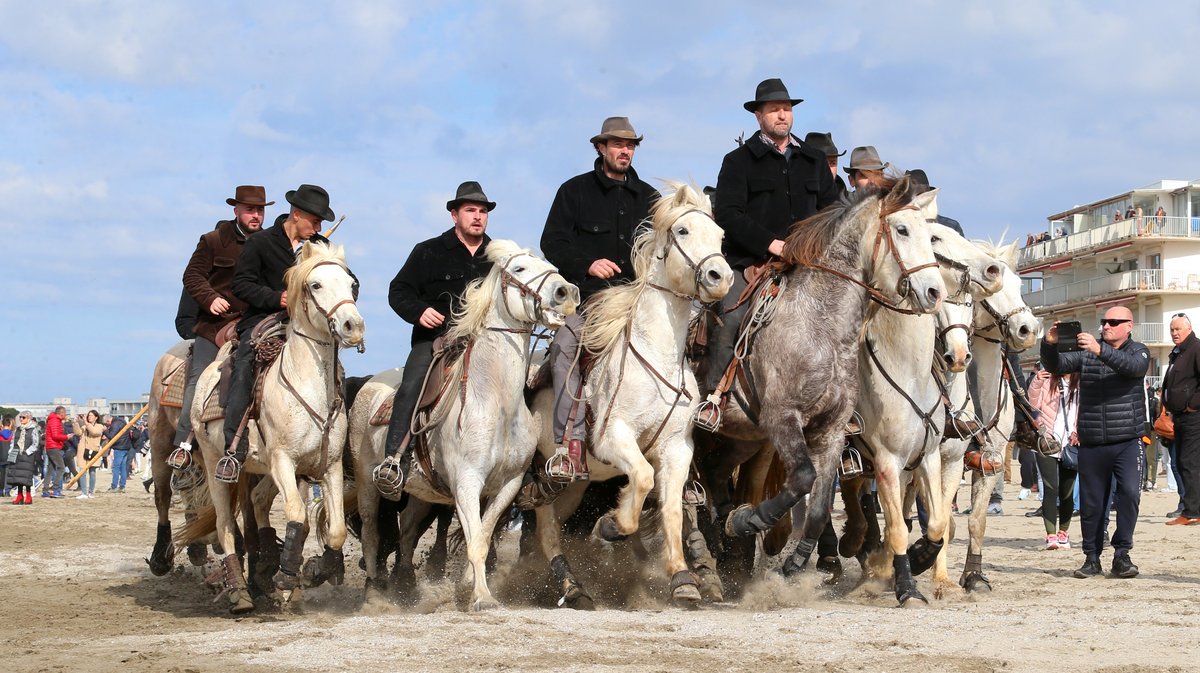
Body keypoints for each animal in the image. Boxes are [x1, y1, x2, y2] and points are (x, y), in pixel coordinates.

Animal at [175, 238, 360, 611]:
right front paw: (287, 575)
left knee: (257, 503)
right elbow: (296, 514)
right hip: (218, 464)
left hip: (258, 469)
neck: (307, 385)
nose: (353, 325)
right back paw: (240, 591)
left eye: (351, 285)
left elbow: (334, 530)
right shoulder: (283, 461)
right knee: (226, 525)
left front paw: (312, 571)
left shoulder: (328, 465)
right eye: (316, 285)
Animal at [350, 239, 578, 609]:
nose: (566, 292)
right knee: (371, 535)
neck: (497, 401)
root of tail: (369, 384)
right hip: (367, 483)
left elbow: (482, 536)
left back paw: (406, 586)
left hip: (422, 493)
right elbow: (474, 539)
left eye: (549, 265)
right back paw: (374, 593)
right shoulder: (468, 481)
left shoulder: (508, 484)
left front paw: (467, 587)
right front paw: (482, 597)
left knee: (408, 531)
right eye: (519, 269)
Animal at [530, 181, 734, 607]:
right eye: (683, 231)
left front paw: (682, 578)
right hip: (550, 470)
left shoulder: (677, 449)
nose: (719, 277)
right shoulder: (613, 437)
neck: (655, 353)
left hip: (577, 483)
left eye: (721, 236)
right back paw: (571, 587)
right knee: (545, 526)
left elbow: (671, 508)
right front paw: (611, 526)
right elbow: (641, 478)